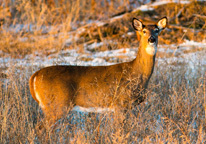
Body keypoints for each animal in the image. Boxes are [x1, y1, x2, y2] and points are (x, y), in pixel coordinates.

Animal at [29, 16, 167, 125]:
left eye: (157, 31)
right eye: (144, 31)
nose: (151, 39)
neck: (135, 72)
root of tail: (34, 76)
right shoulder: (120, 103)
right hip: (56, 104)